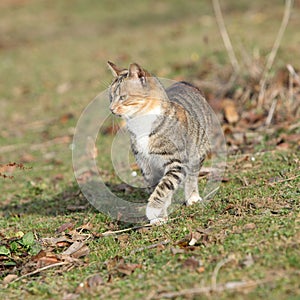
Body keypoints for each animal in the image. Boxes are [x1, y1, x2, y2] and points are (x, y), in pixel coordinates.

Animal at [107, 61, 211, 224]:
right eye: (110, 97)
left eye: (123, 97)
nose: (111, 109)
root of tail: (186, 83)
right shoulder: (146, 165)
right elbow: (157, 187)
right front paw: (159, 216)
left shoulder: (177, 162)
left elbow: (163, 187)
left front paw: (154, 209)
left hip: (198, 151)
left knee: (192, 176)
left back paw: (192, 197)